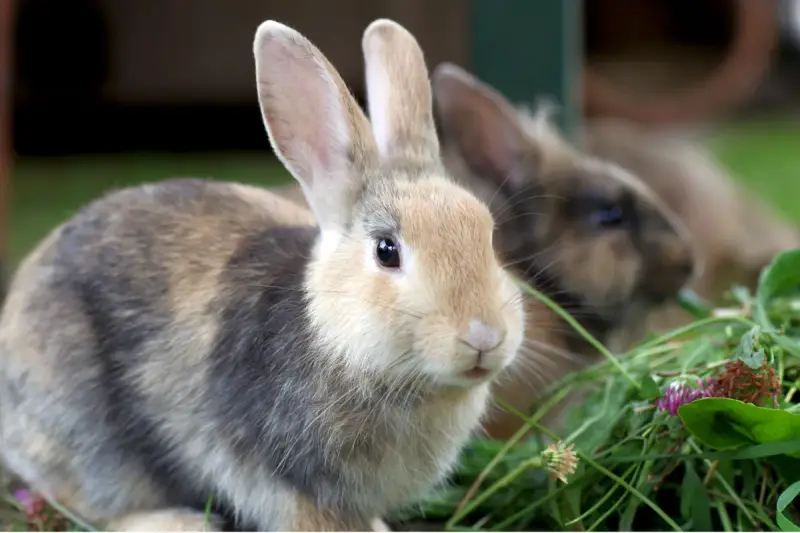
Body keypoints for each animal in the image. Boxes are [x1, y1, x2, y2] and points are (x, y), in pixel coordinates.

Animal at [0, 19, 525, 531]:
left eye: (488, 235)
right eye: (387, 251)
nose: (484, 336)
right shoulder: (286, 484)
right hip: (91, 441)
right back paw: (179, 522)